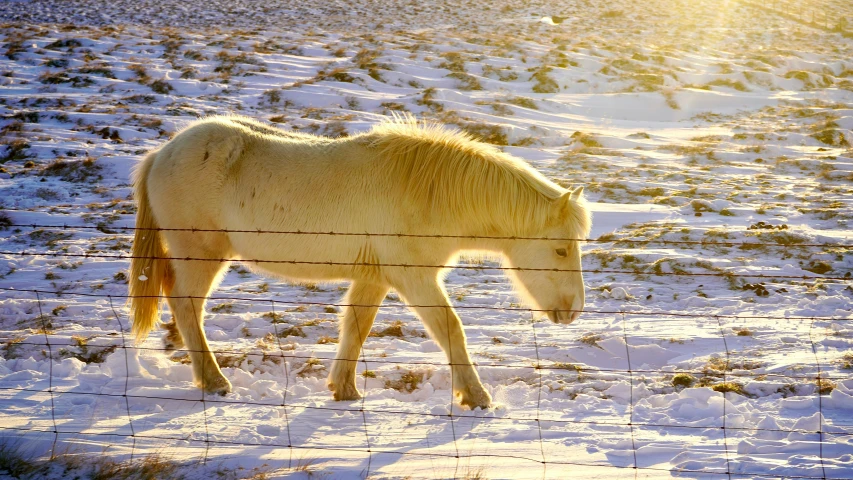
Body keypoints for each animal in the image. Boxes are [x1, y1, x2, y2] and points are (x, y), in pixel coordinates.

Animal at [130, 114, 588, 406]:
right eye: (561, 249)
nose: (573, 311)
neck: (426, 192)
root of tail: (161, 153)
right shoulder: (415, 279)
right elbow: (450, 330)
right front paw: (475, 397)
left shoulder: (375, 278)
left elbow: (356, 327)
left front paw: (344, 390)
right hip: (202, 255)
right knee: (188, 306)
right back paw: (214, 381)